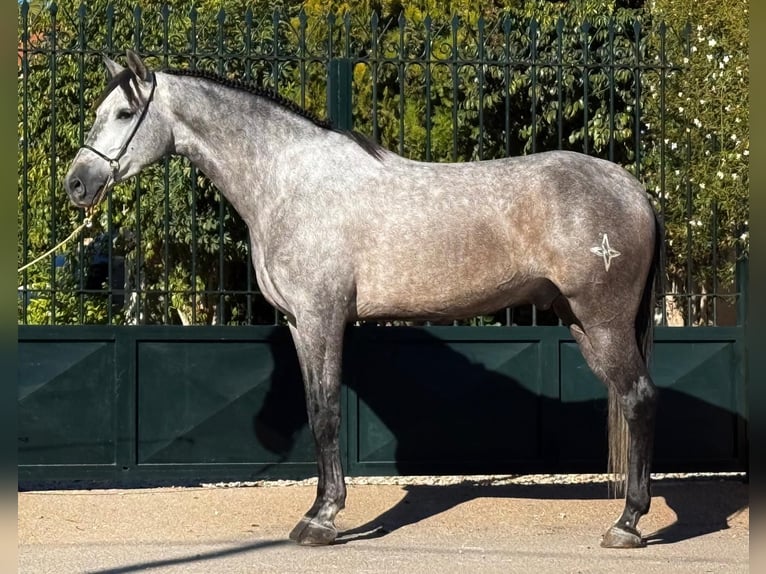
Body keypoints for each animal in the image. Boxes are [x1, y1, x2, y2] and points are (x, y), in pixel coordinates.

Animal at [64, 50, 661, 549]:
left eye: (124, 114)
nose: (76, 184)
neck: (288, 181)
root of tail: (633, 188)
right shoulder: (300, 324)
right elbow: (315, 409)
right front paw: (316, 511)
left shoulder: (323, 318)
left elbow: (327, 413)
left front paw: (323, 520)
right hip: (581, 321)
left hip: (603, 321)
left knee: (638, 399)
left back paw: (628, 524)